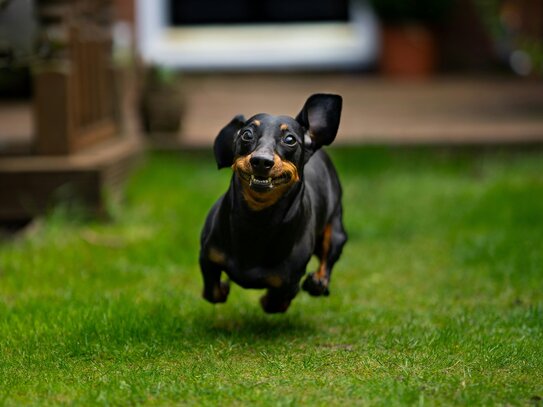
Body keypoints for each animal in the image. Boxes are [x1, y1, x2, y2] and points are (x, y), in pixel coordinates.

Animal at [200, 94, 348, 314]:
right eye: (246, 134)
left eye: (290, 139)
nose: (261, 161)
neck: (257, 220)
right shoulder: (208, 257)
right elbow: (213, 291)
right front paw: (224, 287)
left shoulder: (290, 280)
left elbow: (276, 302)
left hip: (336, 231)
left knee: (327, 259)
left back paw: (318, 282)